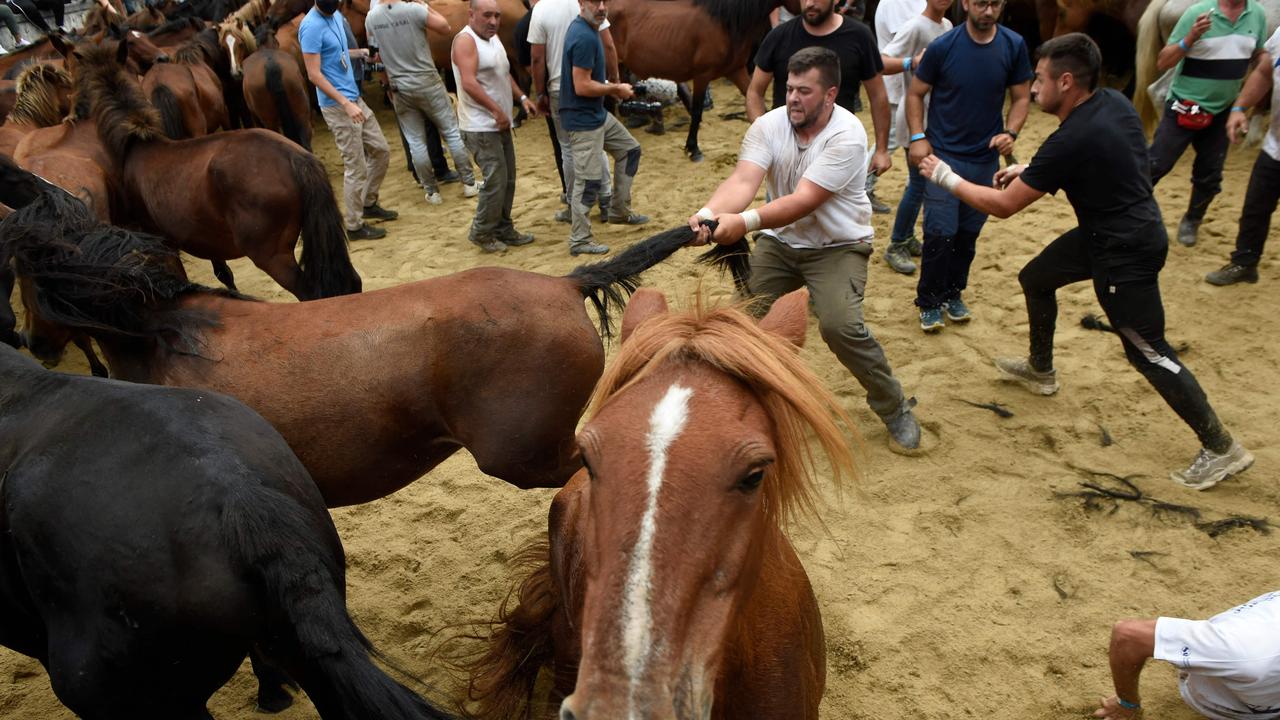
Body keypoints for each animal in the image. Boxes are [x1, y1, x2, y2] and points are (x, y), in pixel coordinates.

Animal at [606, 0, 798, 159]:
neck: (723, 22)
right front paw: (693, 149)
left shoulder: (736, 71)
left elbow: (760, 107)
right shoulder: (702, 76)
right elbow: (697, 110)